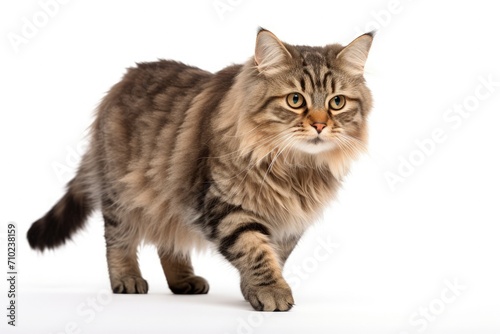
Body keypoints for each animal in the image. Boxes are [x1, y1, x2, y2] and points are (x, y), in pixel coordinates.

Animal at [26, 27, 372, 312]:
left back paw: (183, 281)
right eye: (296, 100)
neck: (295, 167)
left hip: (169, 199)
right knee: (118, 240)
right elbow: (255, 251)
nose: (320, 125)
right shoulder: (225, 205)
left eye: (337, 102)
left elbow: (274, 255)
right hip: (121, 194)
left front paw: (253, 290)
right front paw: (271, 291)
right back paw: (126, 279)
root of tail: (121, 83)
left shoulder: (288, 222)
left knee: (168, 244)